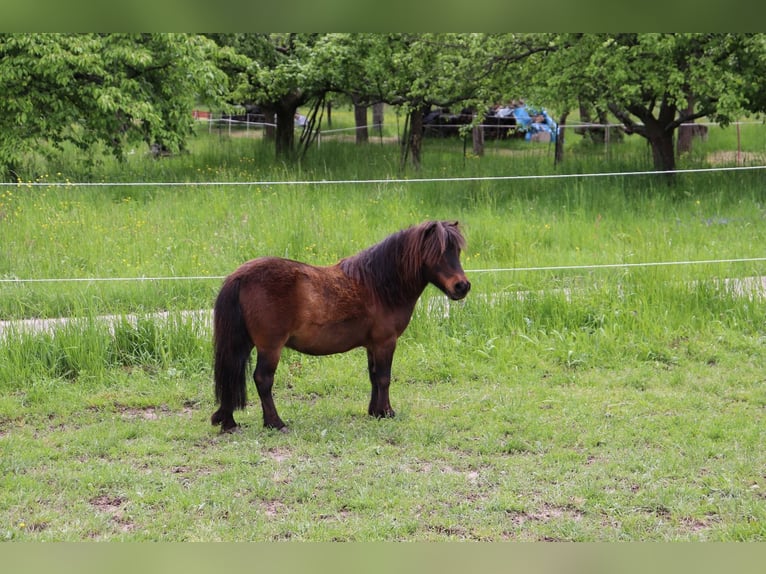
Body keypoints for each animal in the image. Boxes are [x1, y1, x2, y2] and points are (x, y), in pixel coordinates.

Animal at [213, 220, 472, 432]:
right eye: (439, 252)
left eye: (457, 251)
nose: (462, 286)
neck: (379, 285)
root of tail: (240, 275)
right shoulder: (386, 342)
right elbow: (384, 378)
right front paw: (387, 412)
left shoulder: (373, 345)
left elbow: (374, 376)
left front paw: (375, 412)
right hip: (270, 347)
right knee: (263, 379)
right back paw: (275, 423)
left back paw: (229, 421)